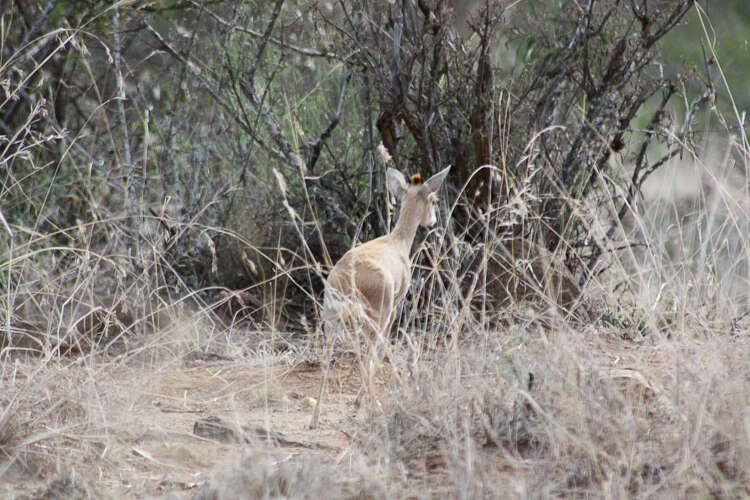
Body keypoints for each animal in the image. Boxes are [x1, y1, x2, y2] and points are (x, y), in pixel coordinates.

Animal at [324, 166, 452, 342]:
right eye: (433, 201)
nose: (433, 221)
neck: (399, 240)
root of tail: (346, 277)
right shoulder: (395, 304)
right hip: (378, 313)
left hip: (331, 317)